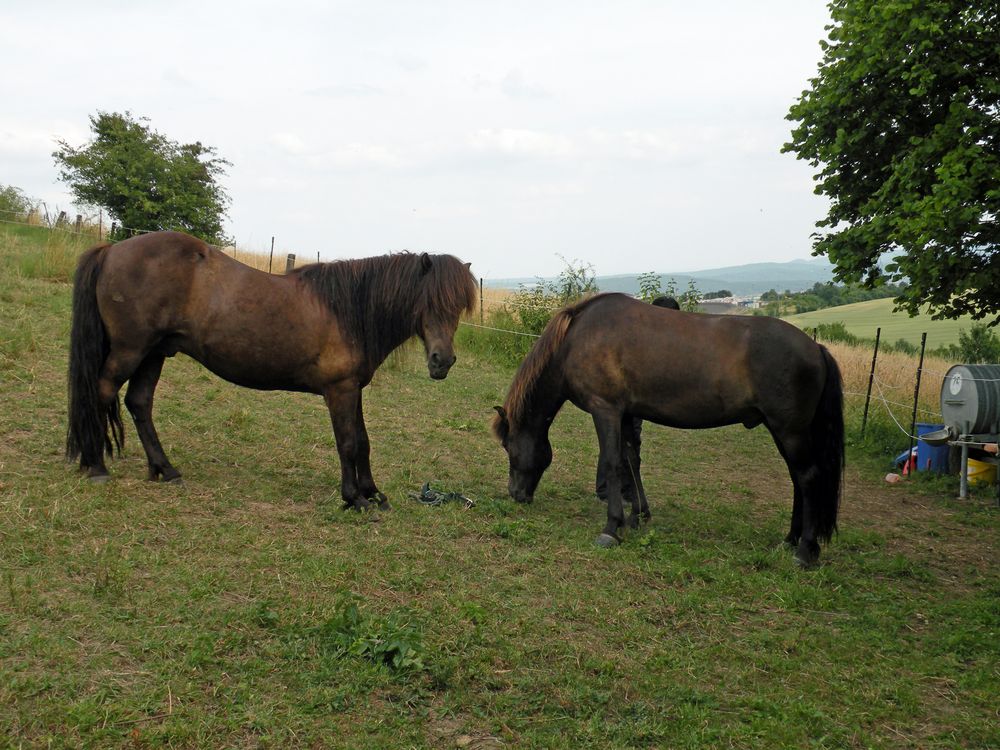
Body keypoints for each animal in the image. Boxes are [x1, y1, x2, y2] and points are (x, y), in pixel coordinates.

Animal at [67, 231, 480, 512]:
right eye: (429, 301)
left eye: (459, 306)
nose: (442, 361)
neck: (350, 310)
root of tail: (112, 249)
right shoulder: (339, 390)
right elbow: (348, 442)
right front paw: (354, 499)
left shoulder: (353, 389)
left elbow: (363, 441)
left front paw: (372, 493)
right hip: (131, 350)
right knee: (102, 392)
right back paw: (97, 466)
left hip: (154, 353)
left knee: (139, 403)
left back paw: (165, 470)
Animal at [492, 292, 844, 564]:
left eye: (508, 446)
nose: (515, 494)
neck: (577, 338)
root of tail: (816, 349)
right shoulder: (625, 415)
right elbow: (630, 461)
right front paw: (636, 517)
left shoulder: (605, 410)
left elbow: (612, 463)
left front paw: (611, 528)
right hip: (781, 431)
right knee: (797, 480)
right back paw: (790, 539)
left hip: (790, 431)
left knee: (808, 478)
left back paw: (805, 549)